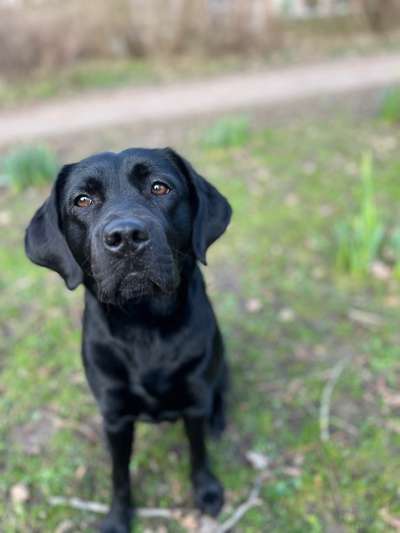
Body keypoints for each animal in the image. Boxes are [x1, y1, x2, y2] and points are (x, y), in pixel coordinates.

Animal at [25, 147, 231, 532]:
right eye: (83, 200)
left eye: (160, 187)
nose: (126, 237)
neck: (143, 325)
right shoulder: (116, 417)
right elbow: (119, 475)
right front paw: (118, 517)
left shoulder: (195, 400)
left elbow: (198, 453)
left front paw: (207, 490)